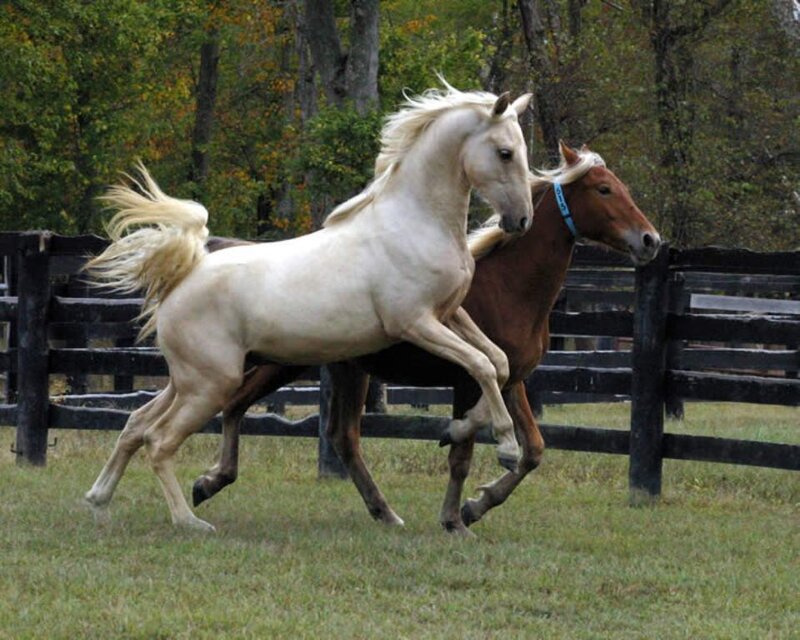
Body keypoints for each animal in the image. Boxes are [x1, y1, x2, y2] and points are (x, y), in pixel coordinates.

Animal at [83, 83, 535, 532]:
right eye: (505, 152)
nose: (521, 220)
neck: (415, 224)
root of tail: (184, 277)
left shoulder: (449, 314)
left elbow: (498, 363)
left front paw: (456, 429)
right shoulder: (416, 323)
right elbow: (481, 365)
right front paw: (506, 448)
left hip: (188, 382)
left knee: (135, 425)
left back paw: (99, 501)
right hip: (210, 385)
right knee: (159, 441)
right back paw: (189, 521)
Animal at [191, 142, 662, 534]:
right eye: (604, 189)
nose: (650, 240)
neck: (511, 287)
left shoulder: (514, 380)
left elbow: (533, 449)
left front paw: (476, 505)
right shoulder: (467, 380)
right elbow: (463, 456)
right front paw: (455, 516)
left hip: (345, 370)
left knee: (341, 437)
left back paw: (383, 512)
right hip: (284, 362)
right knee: (238, 405)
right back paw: (210, 482)